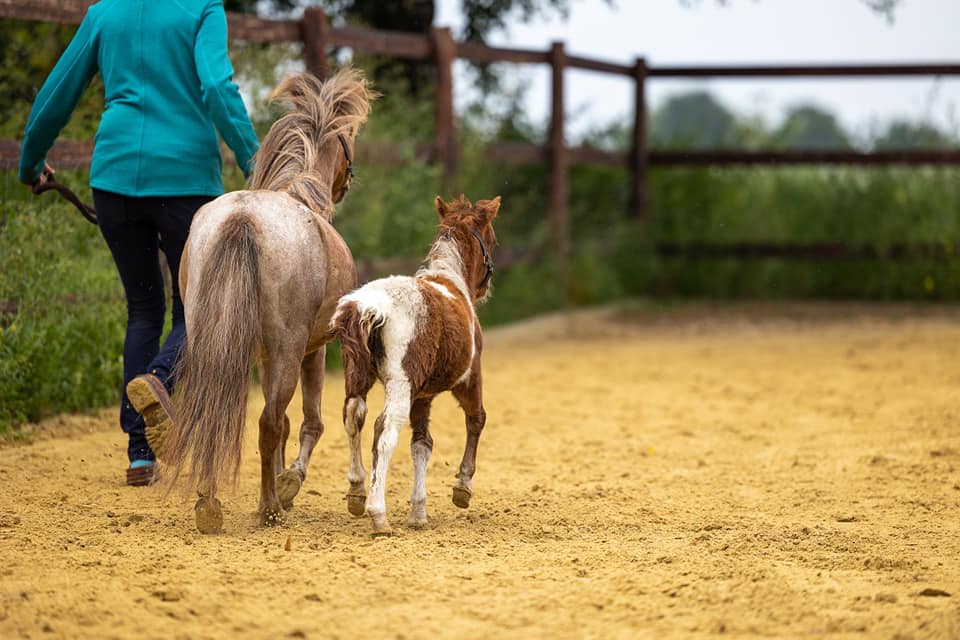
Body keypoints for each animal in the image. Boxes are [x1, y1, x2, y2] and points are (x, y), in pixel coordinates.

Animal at [158, 67, 376, 532]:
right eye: (348, 141)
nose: (348, 182)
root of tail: (243, 218)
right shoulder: (314, 348)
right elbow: (309, 422)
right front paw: (289, 482)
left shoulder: (262, 353)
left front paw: (281, 478)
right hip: (290, 349)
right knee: (269, 421)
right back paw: (270, 508)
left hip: (213, 341)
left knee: (214, 408)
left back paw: (209, 504)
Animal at [332, 194, 502, 536]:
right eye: (490, 237)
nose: (485, 287)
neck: (451, 281)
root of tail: (371, 307)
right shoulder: (469, 378)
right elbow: (476, 420)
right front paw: (462, 488)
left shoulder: (423, 396)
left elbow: (422, 444)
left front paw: (418, 511)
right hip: (401, 385)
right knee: (384, 430)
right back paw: (378, 513)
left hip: (356, 376)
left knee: (353, 415)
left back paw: (357, 492)